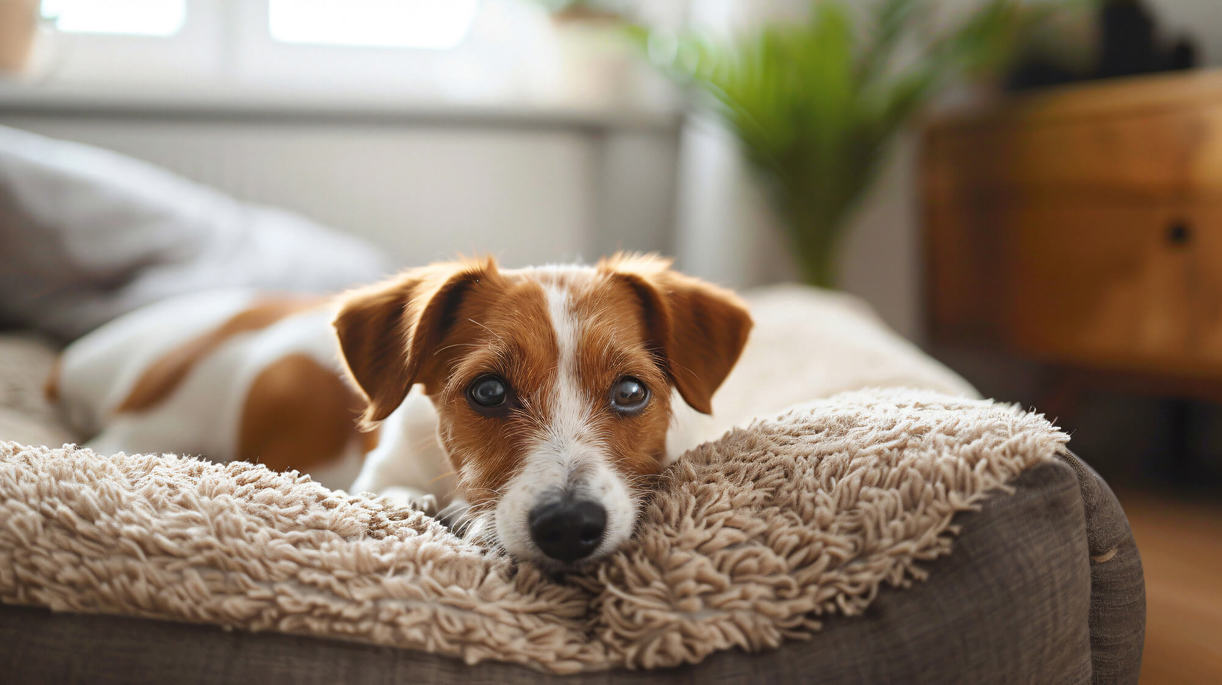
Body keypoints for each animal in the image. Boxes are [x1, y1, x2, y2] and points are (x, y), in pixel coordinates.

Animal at [52, 253, 747, 564]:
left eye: (630, 392)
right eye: (488, 391)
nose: (570, 526)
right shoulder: (377, 475)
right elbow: (395, 496)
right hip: (155, 425)